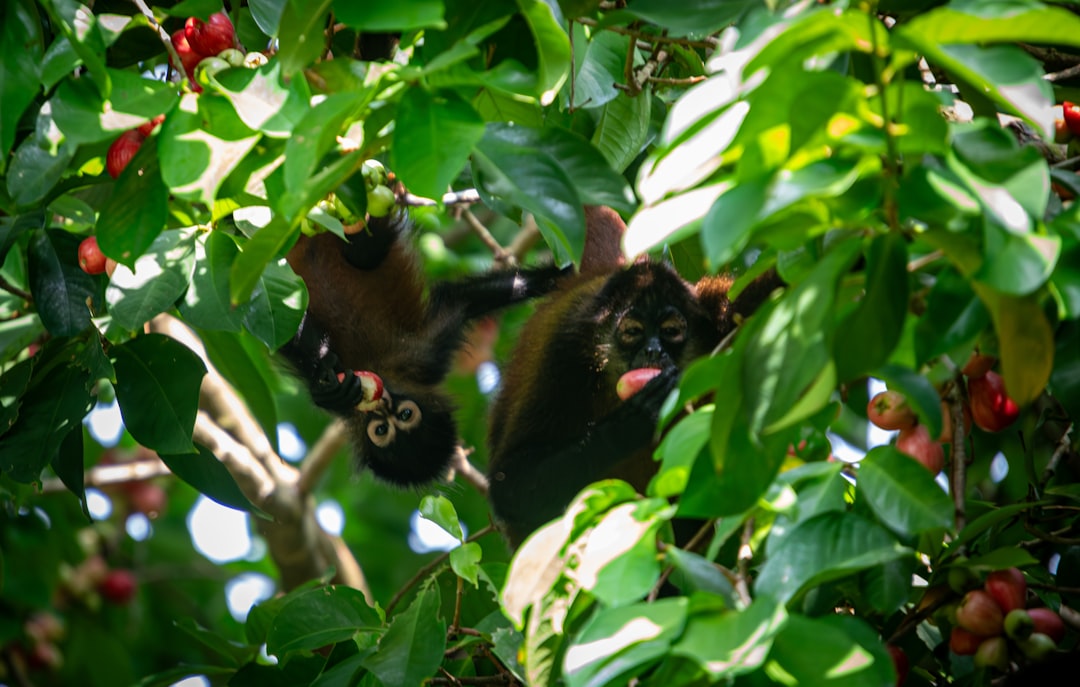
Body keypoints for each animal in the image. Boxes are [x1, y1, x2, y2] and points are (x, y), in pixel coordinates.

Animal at [280, 210, 566, 487]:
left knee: (363, 256)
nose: (383, 407)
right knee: (364, 255)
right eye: (382, 429)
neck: (374, 365)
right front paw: (327, 389)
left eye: (405, 415)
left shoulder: (422, 355)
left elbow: (464, 300)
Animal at [485, 208, 783, 548]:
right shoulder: (564, 350)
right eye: (632, 332)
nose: (653, 351)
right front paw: (635, 420)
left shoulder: (716, 315)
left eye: (670, 331)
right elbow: (510, 485)